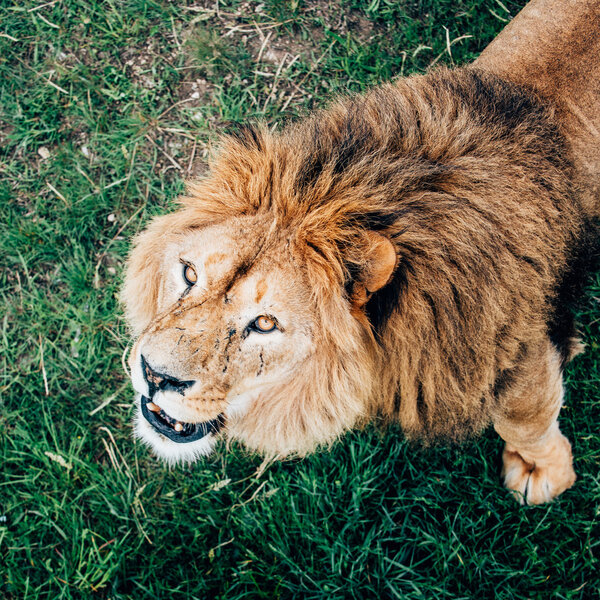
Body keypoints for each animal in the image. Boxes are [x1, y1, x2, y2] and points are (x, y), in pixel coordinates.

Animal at [123, 3, 600, 506]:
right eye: (189, 274)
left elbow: (524, 421)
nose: (154, 375)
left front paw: (543, 472)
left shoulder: (520, 356)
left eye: (266, 324)